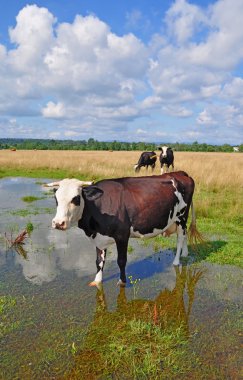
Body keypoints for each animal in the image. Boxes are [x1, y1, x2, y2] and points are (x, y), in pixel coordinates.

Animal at [46, 171, 202, 286]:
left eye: (76, 198)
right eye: (56, 199)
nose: (58, 223)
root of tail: (180, 173)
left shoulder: (122, 235)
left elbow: (121, 260)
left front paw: (122, 282)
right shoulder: (99, 238)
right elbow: (98, 261)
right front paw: (97, 281)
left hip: (181, 216)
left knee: (180, 237)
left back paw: (176, 261)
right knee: (184, 234)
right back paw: (185, 254)